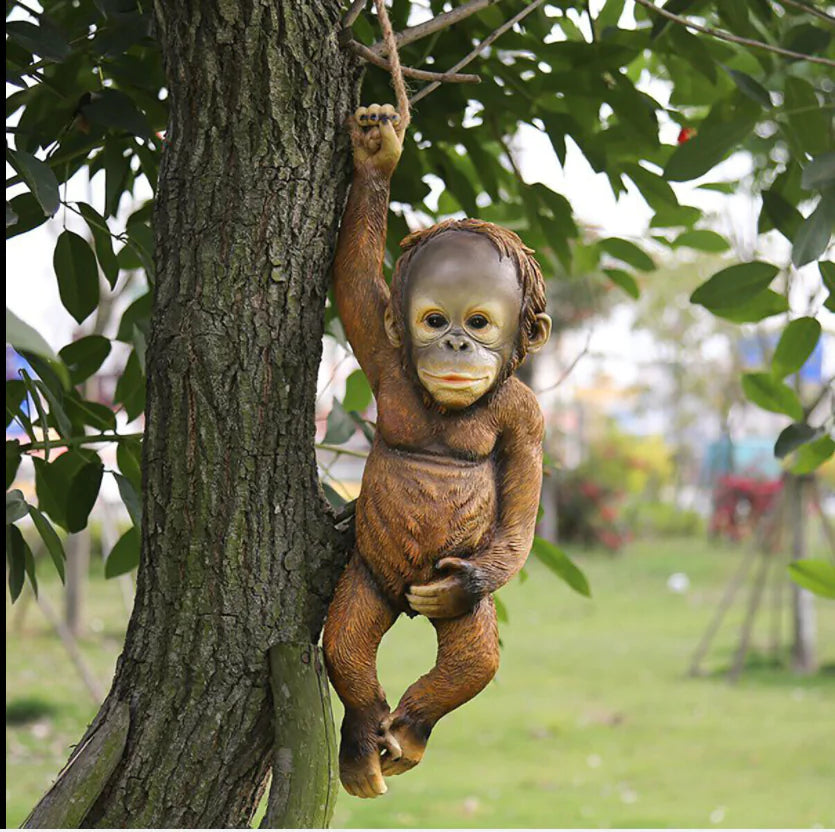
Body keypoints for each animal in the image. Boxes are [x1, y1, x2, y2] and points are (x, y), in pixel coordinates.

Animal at [323, 103, 552, 799]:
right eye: (432, 319)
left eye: (478, 321)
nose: (454, 343)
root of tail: (403, 602)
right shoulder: (383, 357)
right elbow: (354, 284)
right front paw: (377, 153)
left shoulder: (527, 416)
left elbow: (521, 515)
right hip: (369, 576)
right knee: (345, 642)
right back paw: (365, 743)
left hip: (443, 598)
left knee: (474, 658)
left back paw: (409, 732)